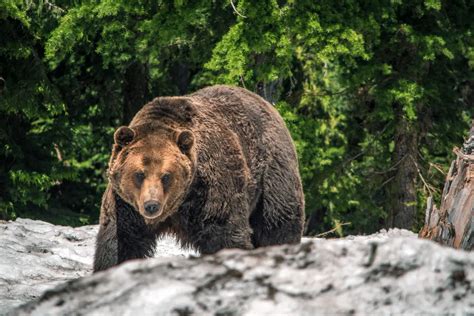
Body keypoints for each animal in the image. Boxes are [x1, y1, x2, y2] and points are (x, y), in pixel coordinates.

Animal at [93, 84, 304, 272]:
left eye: (166, 175)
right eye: (139, 173)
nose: (151, 205)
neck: (177, 205)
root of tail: (265, 103)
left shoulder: (210, 189)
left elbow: (224, 234)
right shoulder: (126, 206)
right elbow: (119, 243)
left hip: (272, 171)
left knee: (278, 219)